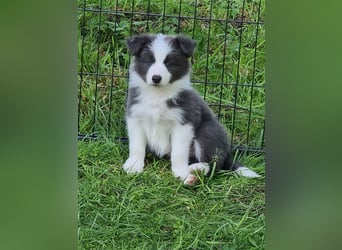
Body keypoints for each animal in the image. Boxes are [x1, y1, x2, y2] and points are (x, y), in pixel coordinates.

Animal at [123, 33, 260, 186]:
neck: (158, 95)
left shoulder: (184, 122)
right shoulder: (135, 117)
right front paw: (134, 165)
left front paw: (181, 173)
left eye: (169, 63)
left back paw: (196, 171)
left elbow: (178, 152)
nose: (156, 78)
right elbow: (136, 146)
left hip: (208, 131)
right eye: (149, 60)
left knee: (214, 165)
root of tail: (227, 156)